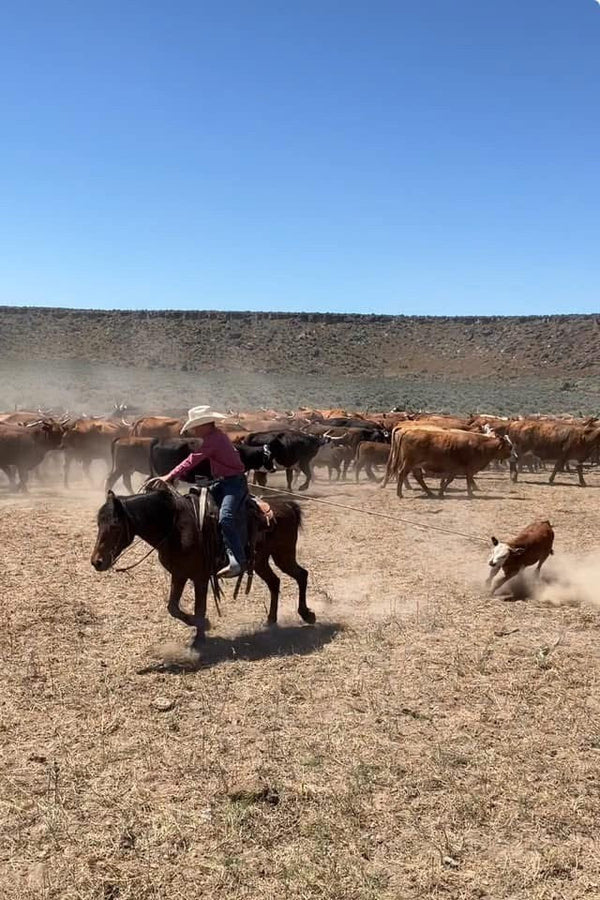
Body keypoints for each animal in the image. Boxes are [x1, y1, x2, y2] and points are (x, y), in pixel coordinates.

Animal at [90, 483, 315, 647]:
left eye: (115, 526)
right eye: (99, 523)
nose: (96, 562)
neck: (175, 528)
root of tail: (288, 506)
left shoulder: (200, 577)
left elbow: (200, 608)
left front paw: (200, 637)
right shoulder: (179, 575)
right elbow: (173, 607)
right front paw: (203, 628)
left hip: (283, 556)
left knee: (301, 575)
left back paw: (307, 614)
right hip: (260, 561)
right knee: (275, 582)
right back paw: (271, 620)